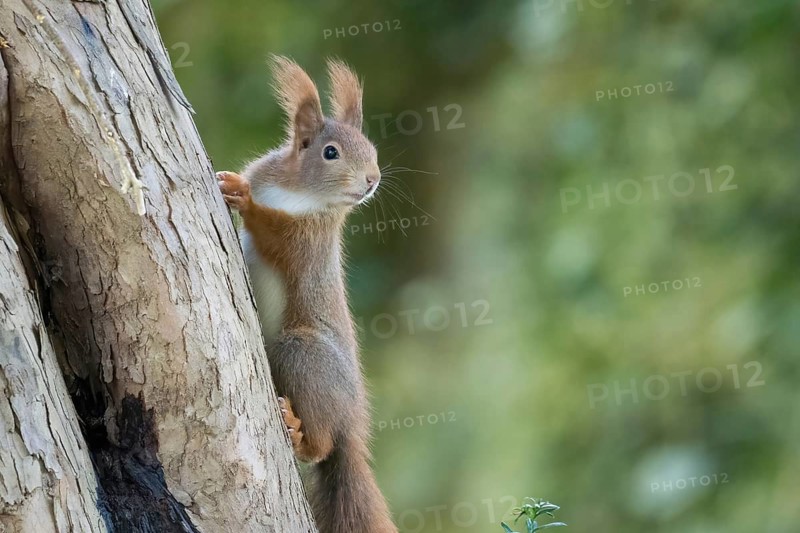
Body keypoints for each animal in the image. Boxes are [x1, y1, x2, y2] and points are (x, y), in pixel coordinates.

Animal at [216, 56, 396, 533]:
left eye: (371, 148)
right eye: (330, 152)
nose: (371, 180)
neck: (298, 190)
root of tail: (352, 422)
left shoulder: (307, 241)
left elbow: (274, 234)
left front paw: (242, 195)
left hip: (302, 353)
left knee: (322, 447)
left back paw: (299, 431)